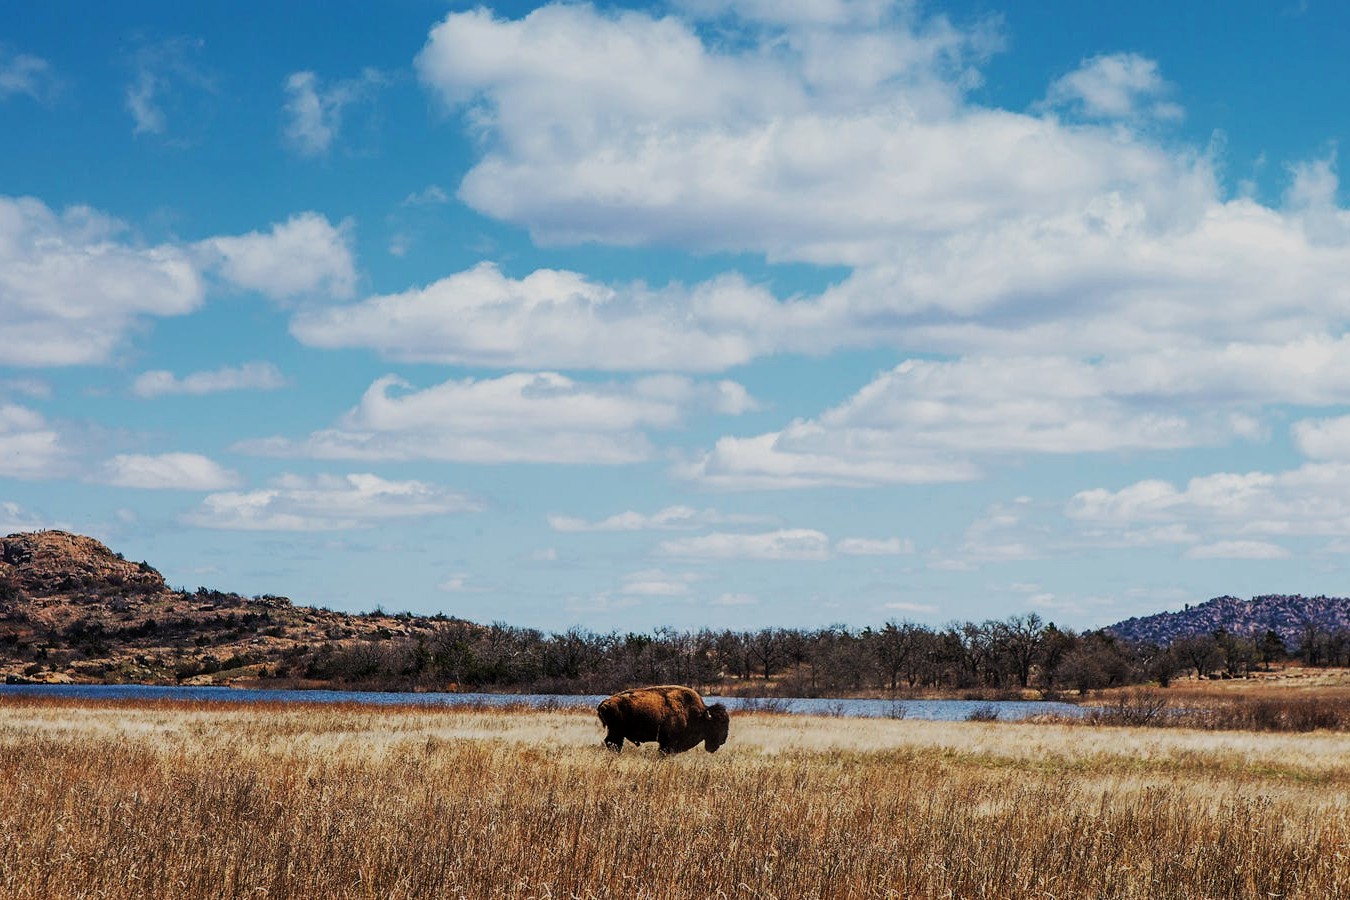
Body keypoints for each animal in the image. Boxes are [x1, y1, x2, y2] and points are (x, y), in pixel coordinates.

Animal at [597, 684, 730, 755]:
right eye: (716, 724)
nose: (723, 740)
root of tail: (604, 703)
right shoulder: (667, 742)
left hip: (617, 733)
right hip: (616, 732)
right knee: (612, 743)